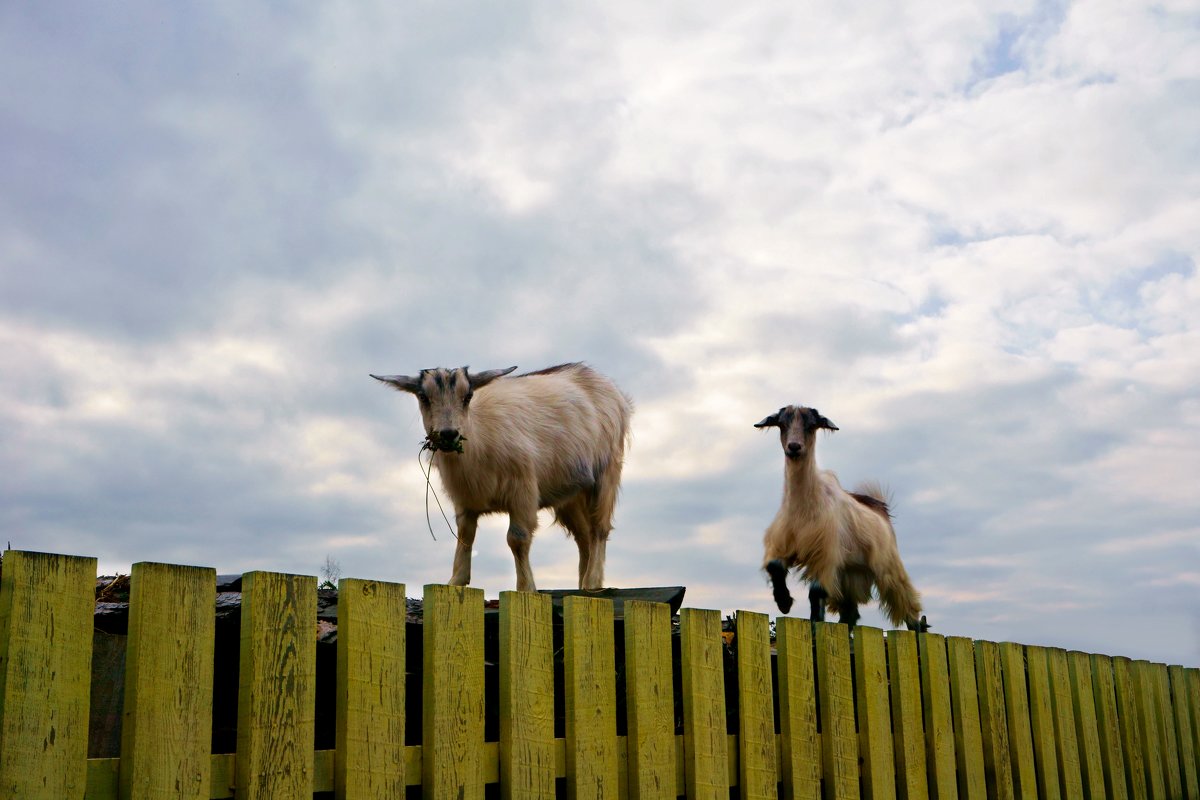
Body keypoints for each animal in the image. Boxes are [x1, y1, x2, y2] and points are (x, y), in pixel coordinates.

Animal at [369, 367, 633, 592]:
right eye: (423, 396)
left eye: (468, 396)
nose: (448, 434)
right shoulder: (465, 501)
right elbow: (465, 537)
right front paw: (455, 581)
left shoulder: (523, 490)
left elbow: (517, 539)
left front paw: (526, 588)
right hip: (570, 494)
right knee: (583, 537)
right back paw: (582, 586)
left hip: (606, 473)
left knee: (599, 529)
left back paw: (592, 583)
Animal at [748, 407, 926, 633]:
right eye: (782, 424)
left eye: (811, 425)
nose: (794, 447)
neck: (804, 507)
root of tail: (882, 510)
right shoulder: (785, 544)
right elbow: (774, 566)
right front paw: (784, 602)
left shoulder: (826, 554)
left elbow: (816, 591)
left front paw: (814, 628)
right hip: (850, 573)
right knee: (850, 612)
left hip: (887, 565)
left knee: (905, 600)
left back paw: (918, 629)